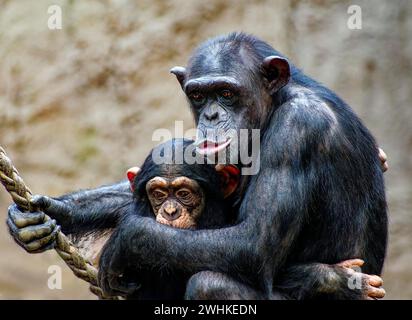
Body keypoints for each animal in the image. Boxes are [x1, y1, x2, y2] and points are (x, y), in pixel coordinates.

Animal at [6, 33, 386, 298]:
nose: (212, 116)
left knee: (211, 282)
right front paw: (46, 213)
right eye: (199, 95)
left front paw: (125, 241)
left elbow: (255, 242)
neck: (277, 102)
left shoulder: (298, 130)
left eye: (228, 94)